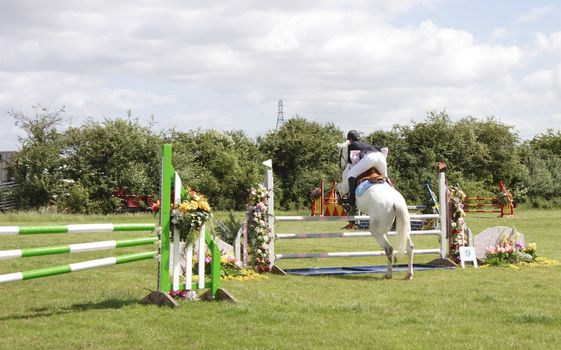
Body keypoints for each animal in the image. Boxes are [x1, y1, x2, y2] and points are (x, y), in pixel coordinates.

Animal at [334, 142, 414, 278]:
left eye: (340, 155)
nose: (340, 166)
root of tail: (396, 202)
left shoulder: (345, 185)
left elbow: (337, 187)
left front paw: (344, 202)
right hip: (402, 226)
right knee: (409, 247)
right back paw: (408, 274)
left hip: (377, 230)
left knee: (389, 249)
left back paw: (388, 274)